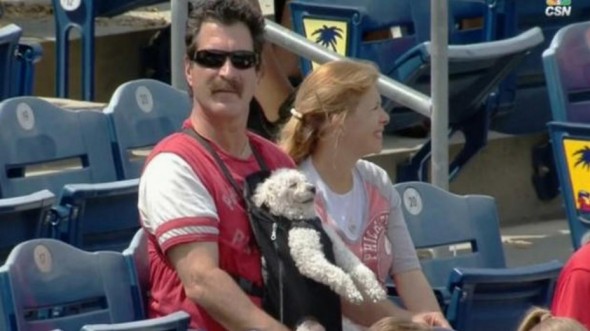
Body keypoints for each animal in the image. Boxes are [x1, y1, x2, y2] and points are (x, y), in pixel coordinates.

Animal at [252, 169, 386, 306]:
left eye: (305, 180)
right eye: (293, 185)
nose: (313, 188)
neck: (306, 219)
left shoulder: (339, 248)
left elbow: (360, 268)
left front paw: (375, 289)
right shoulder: (309, 259)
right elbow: (337, 273)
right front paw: (352, 291)